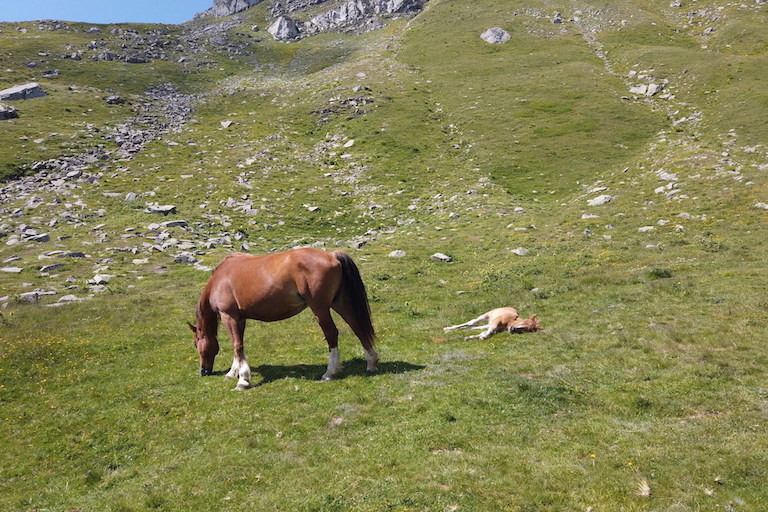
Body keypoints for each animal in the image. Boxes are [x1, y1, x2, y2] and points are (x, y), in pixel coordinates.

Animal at [188, 248, 377, 390]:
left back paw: (329, 372)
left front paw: (243, 380)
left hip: (320, 308)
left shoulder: (230, 316)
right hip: (339, 302)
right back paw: (371, 363)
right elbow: (238, 345)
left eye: (196, 344)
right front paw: (233, 373)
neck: (220, 279)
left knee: (332, 333)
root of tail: (332, 254)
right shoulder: (239, 319)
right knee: (357, 327)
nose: (204, 371)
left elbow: (237, 346)